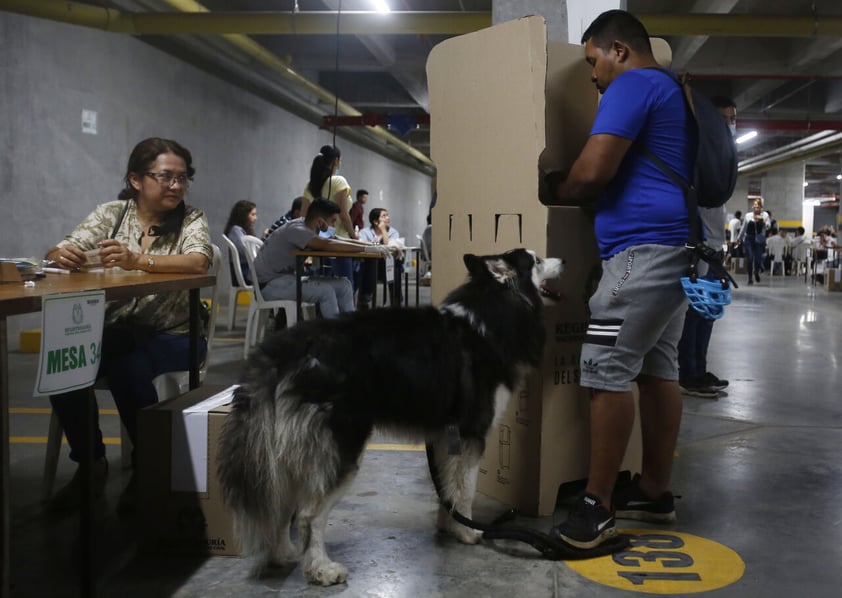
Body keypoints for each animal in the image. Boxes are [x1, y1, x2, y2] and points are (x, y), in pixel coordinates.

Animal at [217, 247, 560, 584]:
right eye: (537, 260)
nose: (564, 260)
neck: (492, 310)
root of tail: (281, 350)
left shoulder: (444, 436)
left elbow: (448, 489)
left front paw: (448, 526)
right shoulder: (470, 434)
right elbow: (466, 490)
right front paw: (467, 531)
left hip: (285, 454)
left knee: (281, 505)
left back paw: (283, 554)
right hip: (341, 450)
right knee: (307, 516)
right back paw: (321, 568)